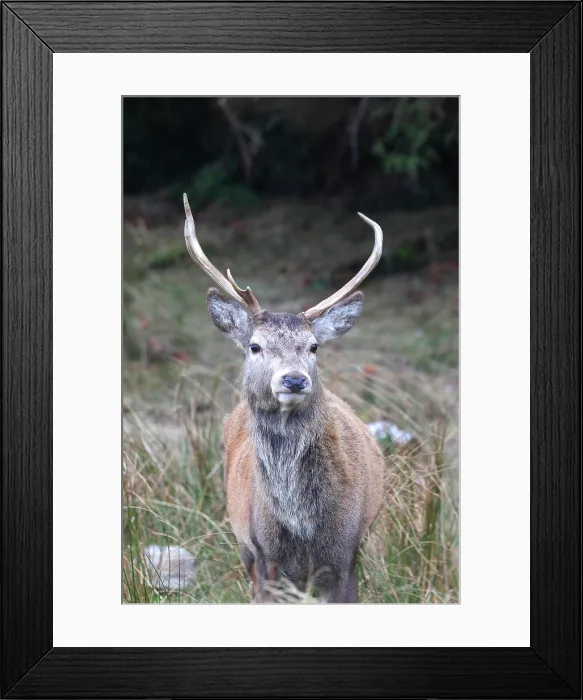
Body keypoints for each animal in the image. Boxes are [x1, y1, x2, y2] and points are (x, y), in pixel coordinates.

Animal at [182, 194, 385, 603]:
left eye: (314, 346)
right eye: (255, 346)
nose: (294, 379)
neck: (304, 527)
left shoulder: (347, 556)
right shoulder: (265, 559)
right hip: (242, 544)